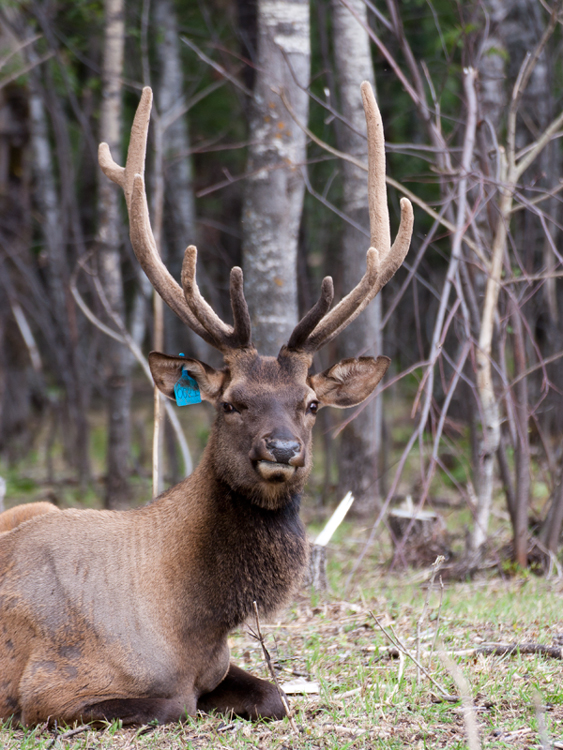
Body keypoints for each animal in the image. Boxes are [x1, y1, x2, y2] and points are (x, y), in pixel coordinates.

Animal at [0, 82, 414, 728]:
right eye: (232, 404)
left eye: (311, 403)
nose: (283, 449)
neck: (192, 622)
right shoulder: (46, 687)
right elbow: (175, 703)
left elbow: (274, 693)